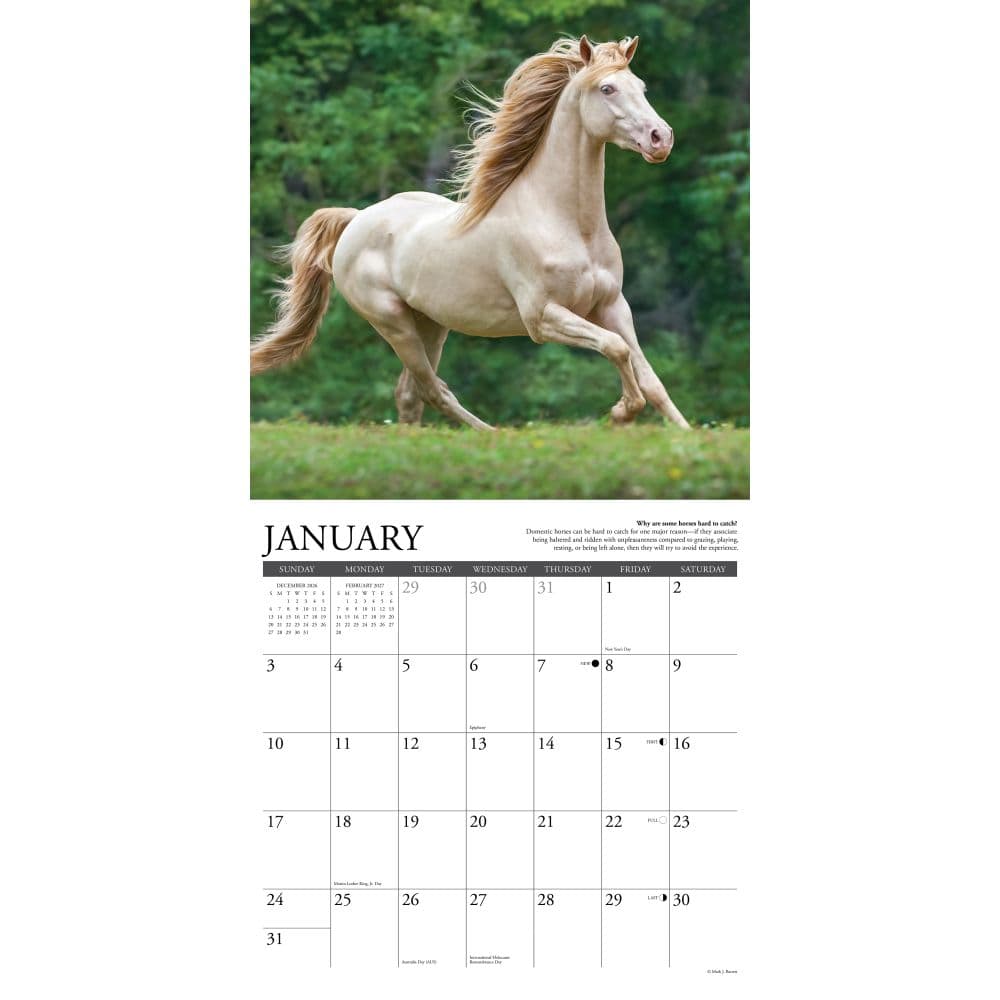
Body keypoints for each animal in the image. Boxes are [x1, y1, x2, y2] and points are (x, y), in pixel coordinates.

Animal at [250, 35, 691, 431]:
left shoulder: (613, 306)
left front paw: (683, 433)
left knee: (410, 394)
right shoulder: (542, 317)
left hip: (430, 324)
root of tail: (356, 219)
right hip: (393, 322)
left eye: (641, 87)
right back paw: (492, 435)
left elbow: (651, 379)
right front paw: (620, 412)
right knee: (433, 390)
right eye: (607, 88)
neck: (566, 223)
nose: (661, 138)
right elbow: (616, 350)